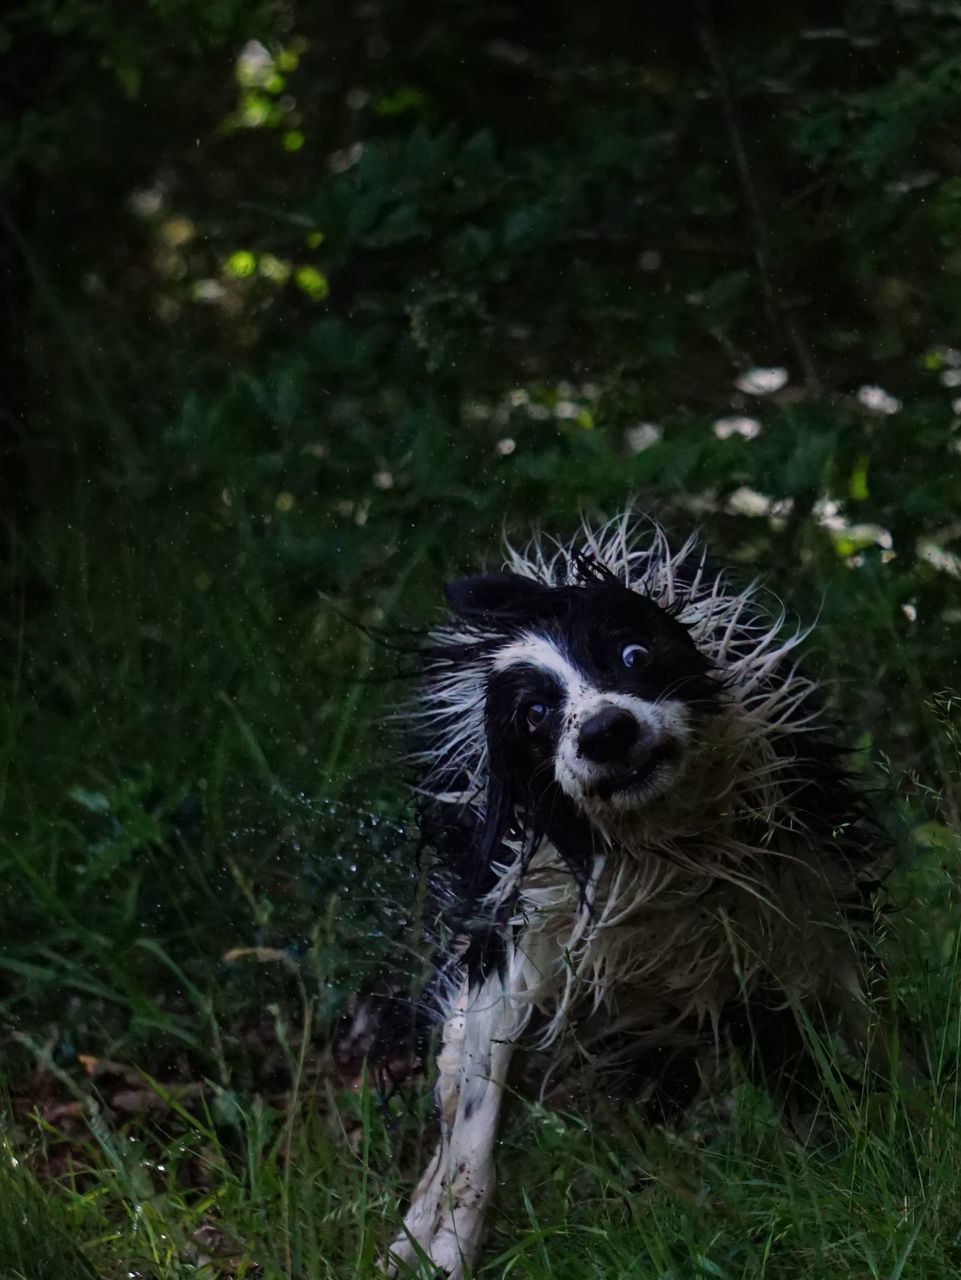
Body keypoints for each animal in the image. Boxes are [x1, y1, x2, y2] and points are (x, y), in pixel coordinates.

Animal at [383, 512, 885, 1280]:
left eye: (633, 653)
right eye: (535, 714)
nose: (602, 730)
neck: (664, 845)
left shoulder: (805, 905)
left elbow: (866, 1034)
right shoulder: (518, 946)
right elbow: (473, 1130)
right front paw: (445, 1247)